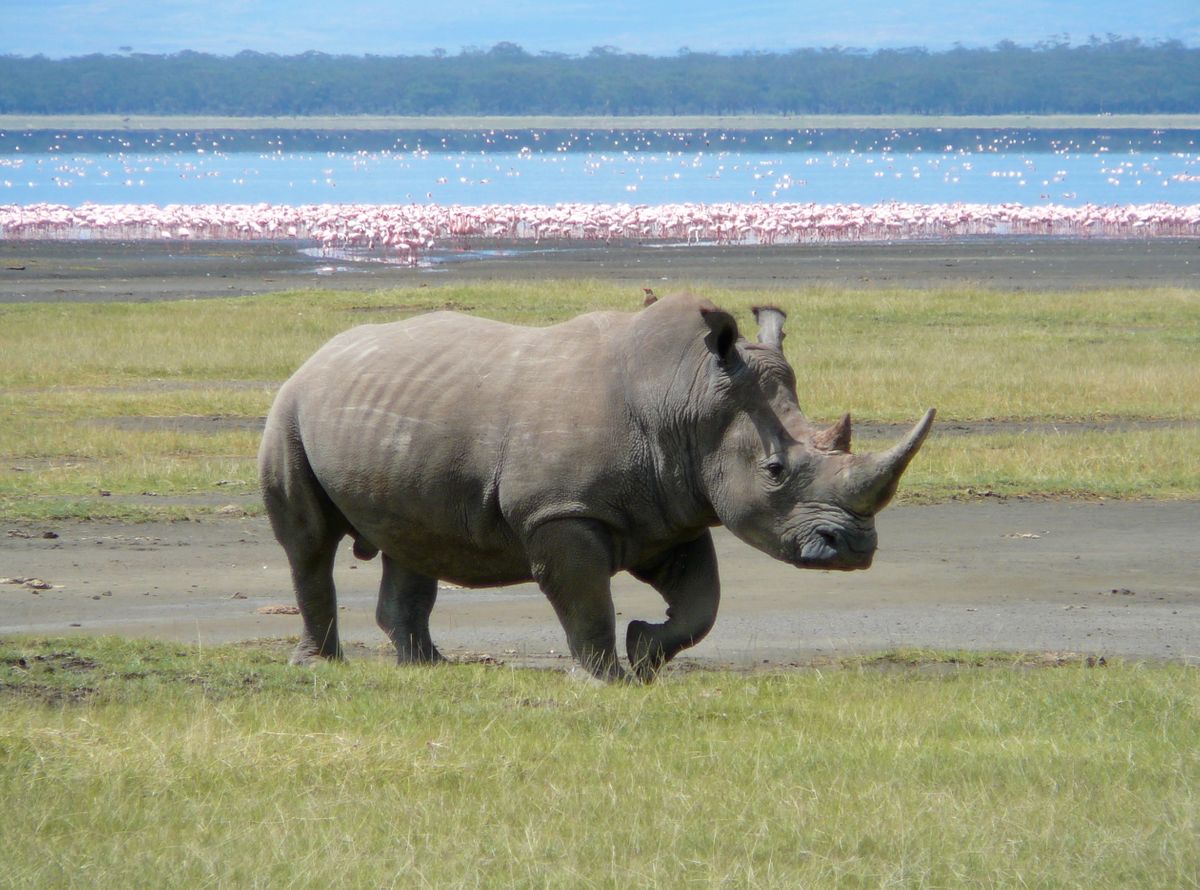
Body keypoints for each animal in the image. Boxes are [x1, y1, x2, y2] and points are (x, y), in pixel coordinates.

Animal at [259, 293, 934, 682]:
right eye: (773, 472)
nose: (855, 550)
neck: (686, 397)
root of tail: (319, 355)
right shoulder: (562, 511)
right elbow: (585, 600)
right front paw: (605, 680)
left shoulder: (672, 508)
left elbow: (702, 604)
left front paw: (645, 653)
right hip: (288, 409)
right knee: (309, 544)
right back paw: (321, 666)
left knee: (412, 538)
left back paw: (429, 669)